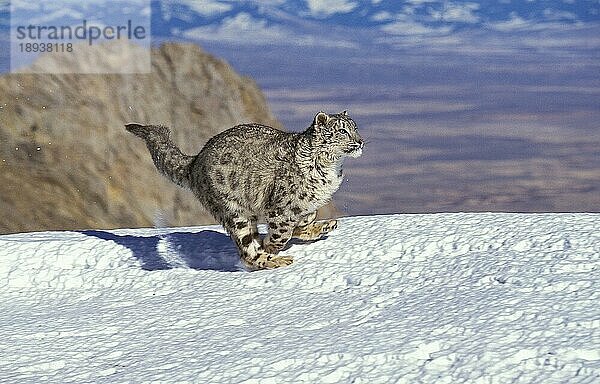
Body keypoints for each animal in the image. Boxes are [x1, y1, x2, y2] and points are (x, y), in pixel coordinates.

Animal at [124, 111, 364, 270]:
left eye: (356, 128)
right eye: (342, 131)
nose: (360, 141)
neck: (331, 170)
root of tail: (197, 159)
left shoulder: (307, 204)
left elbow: (304, 221)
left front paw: (319, 227)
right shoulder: (282, 208)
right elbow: (281, 233)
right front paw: (272, 247)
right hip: (233, 212)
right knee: (246, 249)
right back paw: (273, 259)